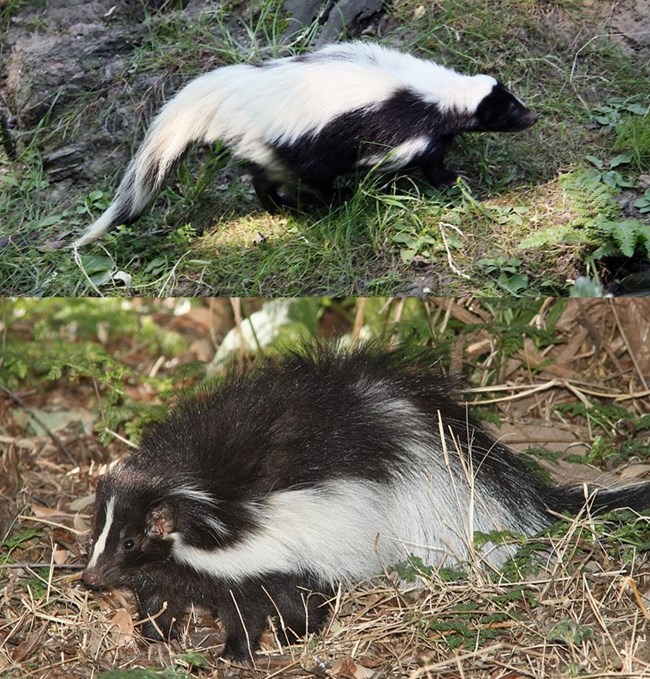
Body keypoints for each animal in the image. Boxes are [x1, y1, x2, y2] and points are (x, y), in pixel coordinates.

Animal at [72, 40, 536, 247]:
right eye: (509, 110)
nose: (533, 116)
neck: (437, 91)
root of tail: (238, 92)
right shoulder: (396, 123)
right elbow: (413, 154)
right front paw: (444, 178)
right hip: (294, 145)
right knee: (288, 177)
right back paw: (310, 203)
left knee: (265, 175)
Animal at [82, 342, 648, 660]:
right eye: (97, 536)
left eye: (130, 541)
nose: (89, 579)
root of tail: (362, 414)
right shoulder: (173, 568)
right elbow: (161, 598)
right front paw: (154, 639)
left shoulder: (250, 558)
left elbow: (249, 609)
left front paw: (235, 655)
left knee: (312, 594)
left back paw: (299, 637)